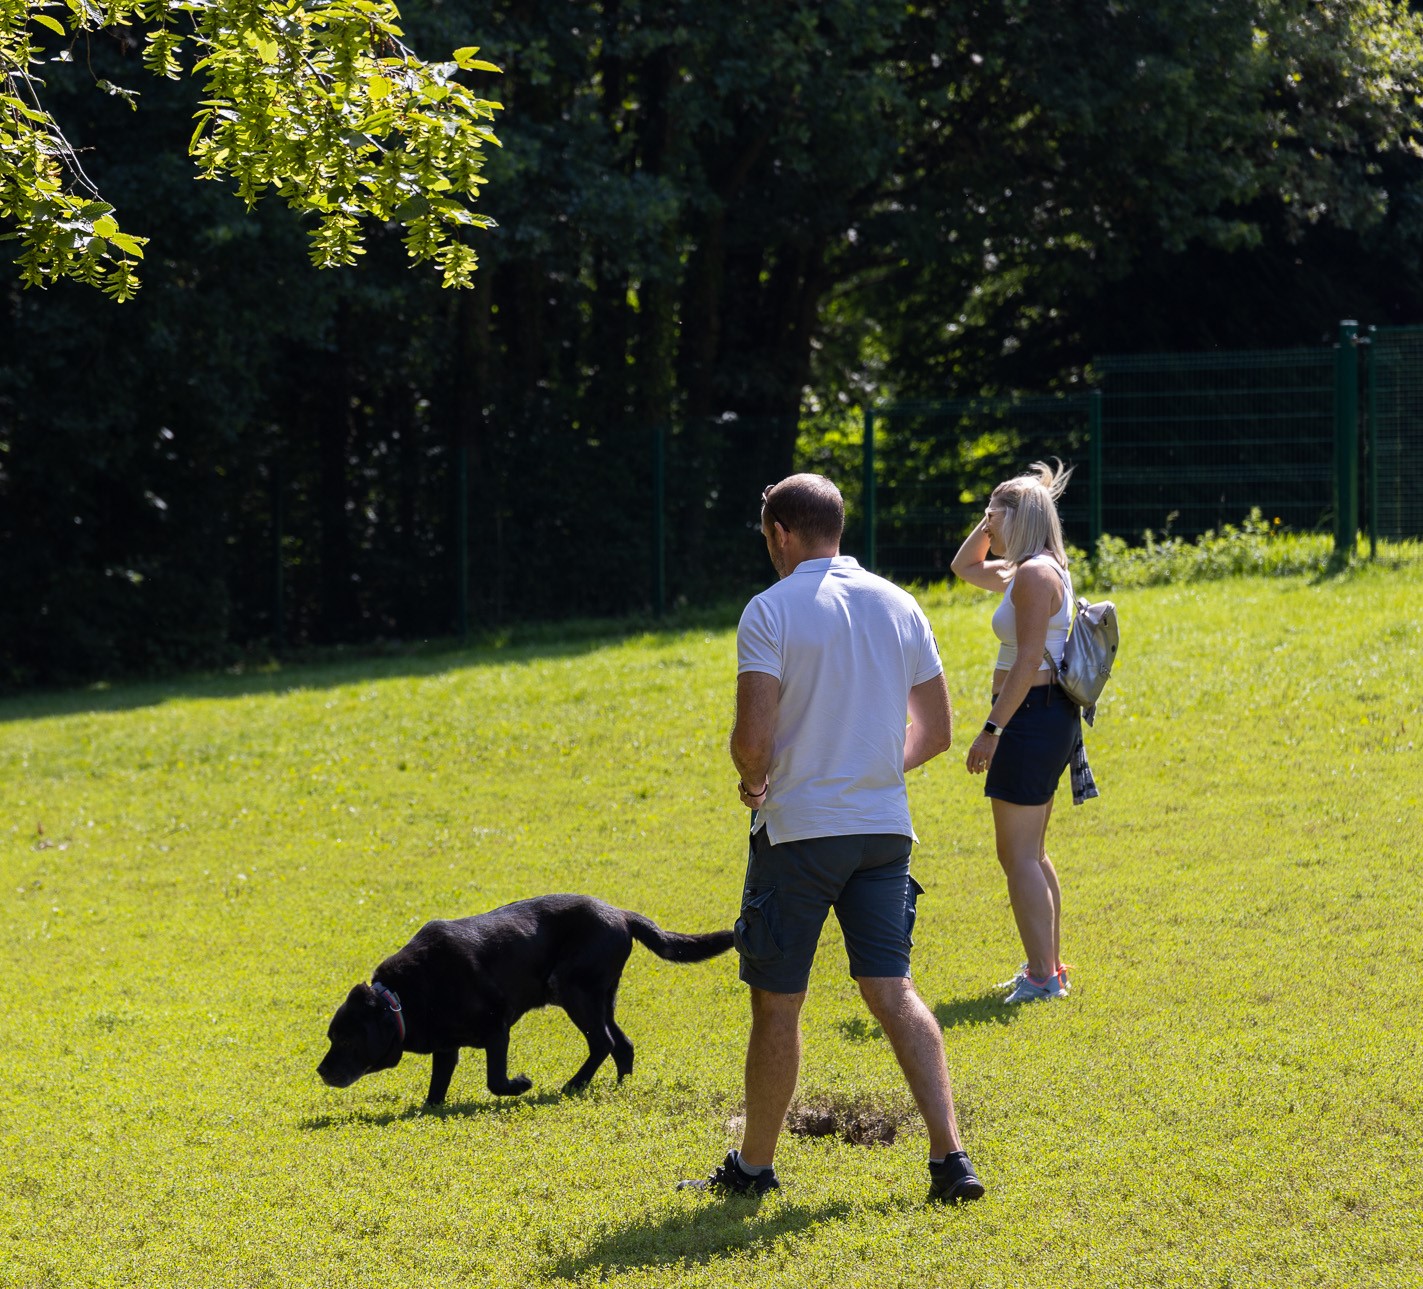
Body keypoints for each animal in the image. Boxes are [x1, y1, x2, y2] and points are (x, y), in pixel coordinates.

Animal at [315, 887, 728, 1098]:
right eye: (331, 1038)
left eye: (346, 1040)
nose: (321, 1071)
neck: (399, 1000)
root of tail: (621, 914)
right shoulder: (446, 1046)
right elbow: (437, 1087)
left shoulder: (497, 1029)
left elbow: (496, 1082)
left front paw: (521, 1084)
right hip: (601, 996)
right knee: (622, 1045)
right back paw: (616, 1088)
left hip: (571, 989)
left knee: (604, 1043)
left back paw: (573, 1086)